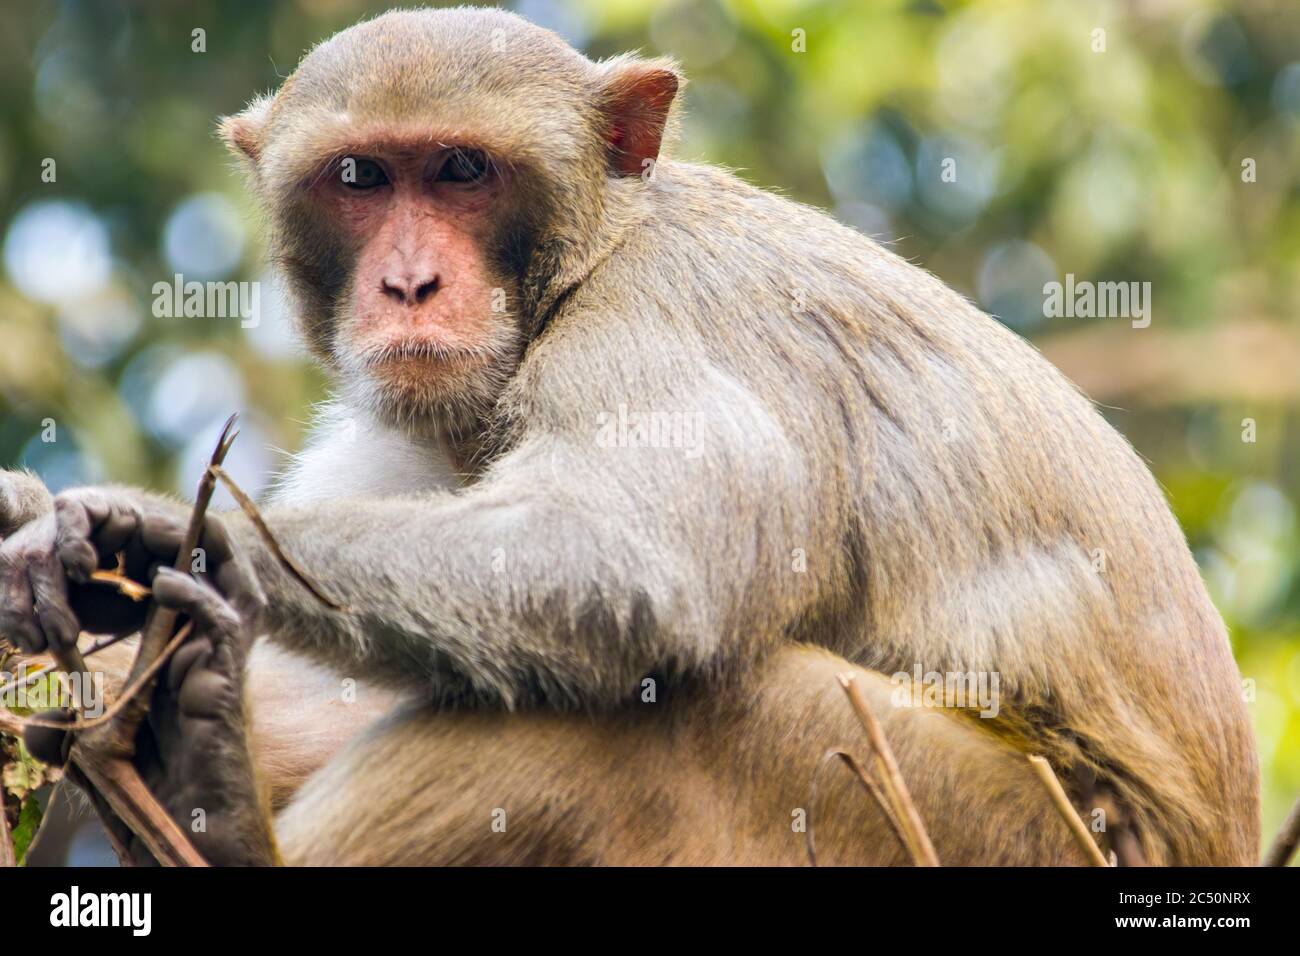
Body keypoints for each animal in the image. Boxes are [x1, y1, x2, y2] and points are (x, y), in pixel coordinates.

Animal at [2, 5, 1258, 868]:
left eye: (462, 168)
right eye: (359, 177)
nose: (408, 285)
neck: (586, 260)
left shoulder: (651, 324)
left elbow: (629, 565)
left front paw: (158, 534)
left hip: (980, 820)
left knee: (668, 709)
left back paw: (217, 817)